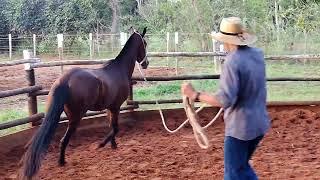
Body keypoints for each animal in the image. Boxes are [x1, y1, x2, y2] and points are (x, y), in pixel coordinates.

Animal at [20, 27, 149, 179]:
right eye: (145, 43)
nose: (146, 63)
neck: (119, 69)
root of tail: (65, 80)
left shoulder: (109, 108)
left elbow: (112, 127)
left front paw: (113, 145)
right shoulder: (116, 107)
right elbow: (116, 128)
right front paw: (101, 144)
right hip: (76, 117)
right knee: (64, 140)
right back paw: (62, 162)